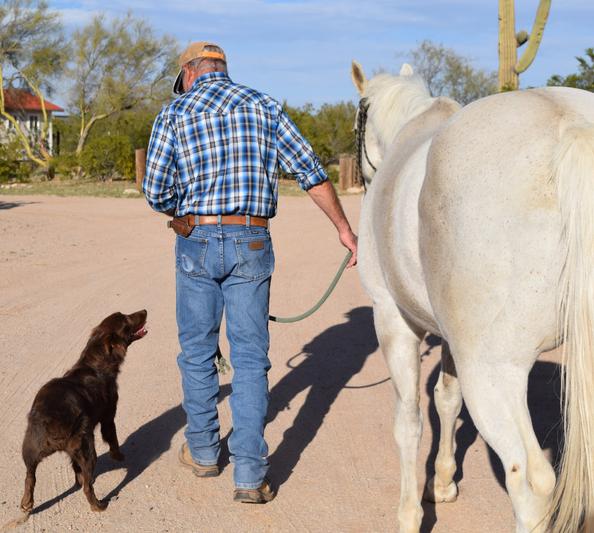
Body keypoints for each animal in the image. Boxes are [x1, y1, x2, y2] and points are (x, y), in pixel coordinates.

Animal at [20, 310, 148, 512]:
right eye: (126, 320)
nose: (144, 311)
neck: (95, 363)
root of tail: (49, 419)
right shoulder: (108, 416)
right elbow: (113, 439)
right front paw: (118, 456)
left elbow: (75, 467)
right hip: (87, 449)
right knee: (88, 487)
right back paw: (98, 505)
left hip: (30, 450)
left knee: (29, 477)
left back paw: (27, 503)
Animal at [350, 61, 592, 532]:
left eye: (357, 121)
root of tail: (570, 124)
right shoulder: (449, 337)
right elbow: (446, 400)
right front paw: (442, 483)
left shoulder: (392, 320)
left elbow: (408, 421)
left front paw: (408, 514)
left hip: (493, 371)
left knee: (531, 483)